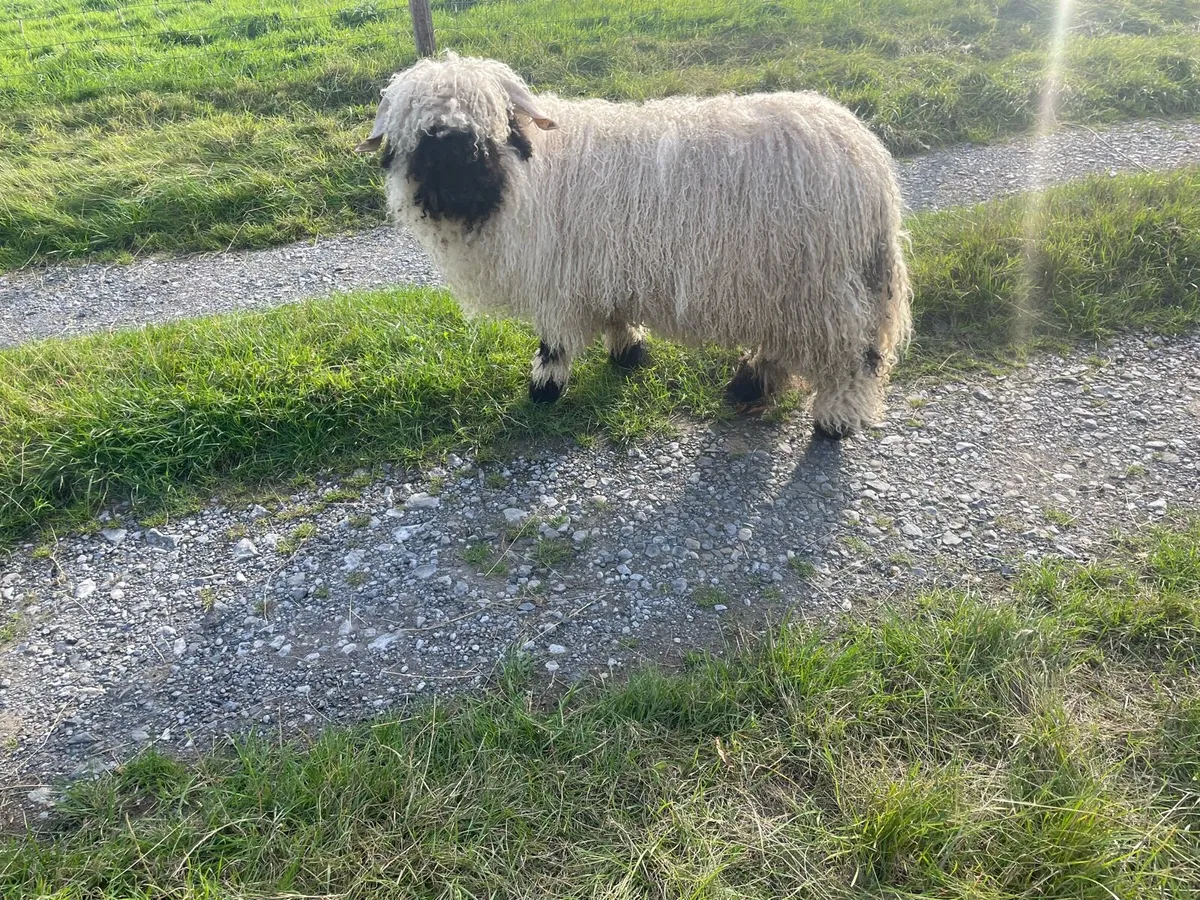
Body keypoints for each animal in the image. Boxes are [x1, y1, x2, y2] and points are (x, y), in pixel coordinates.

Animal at [355, 53, 912, 438]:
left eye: (495, 121)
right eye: (423, 133)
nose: (457, 172)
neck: (526, 177)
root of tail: (868, 158)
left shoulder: (559, 280)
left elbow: (554, 341)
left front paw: (544, 390)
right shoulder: (601, 267)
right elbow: (615, 316)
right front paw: (628, 353)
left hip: (821, 283)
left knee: (854, 352)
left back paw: (834, 419)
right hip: (787, 283)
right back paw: (750, 384)